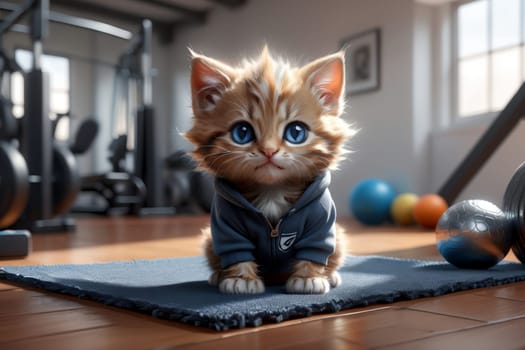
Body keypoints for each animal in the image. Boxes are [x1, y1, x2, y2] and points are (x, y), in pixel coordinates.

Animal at [184, 45, 352, 292]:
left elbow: (315, 248)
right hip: (209, 240)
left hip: (339, 237)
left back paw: (330, 275)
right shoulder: (225, 227)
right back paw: (218, 275)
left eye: (296, 132)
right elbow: (236, 249)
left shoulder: (322, 223)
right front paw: (240, 279)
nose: (269, 151)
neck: (272, 190)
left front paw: (308, 278)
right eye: (242, 132)